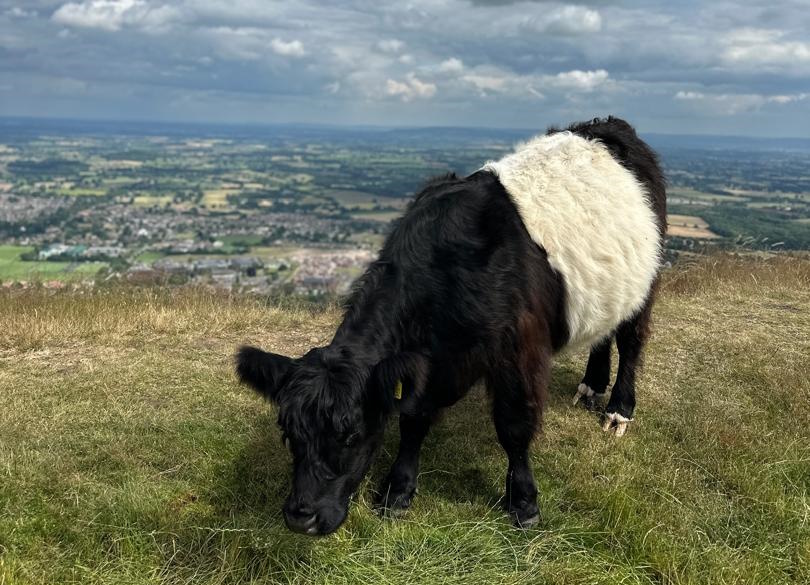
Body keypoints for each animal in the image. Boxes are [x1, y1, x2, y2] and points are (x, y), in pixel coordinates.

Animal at [235, 116, 666, 536]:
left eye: (351, 433)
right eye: (288, 432)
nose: (300, 517)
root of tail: (609, 125)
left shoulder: (518, 352)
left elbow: (514, 426)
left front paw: (524, 503)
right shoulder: (426, 363)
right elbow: (413, 419)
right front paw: (397, 490)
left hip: (646, 281)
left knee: (631, 340)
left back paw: (618, 409)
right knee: (603, 332)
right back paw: (592, 385)